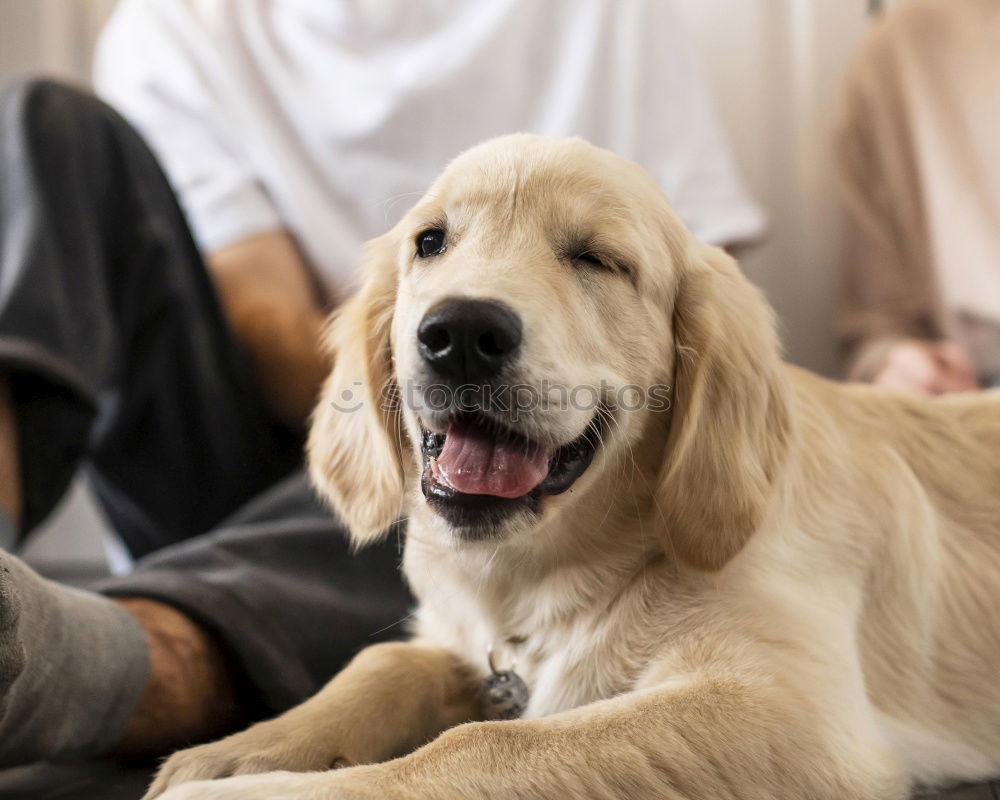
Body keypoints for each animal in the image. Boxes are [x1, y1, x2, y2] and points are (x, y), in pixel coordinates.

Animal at [145, 134, 996, 796]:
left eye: (598, 259)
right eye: (431, 242)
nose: (459, 333)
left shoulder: (792, 709)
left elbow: (481, 745)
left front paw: (250, 789)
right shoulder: (465, 646)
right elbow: (383, 661)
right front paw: (238, 752)